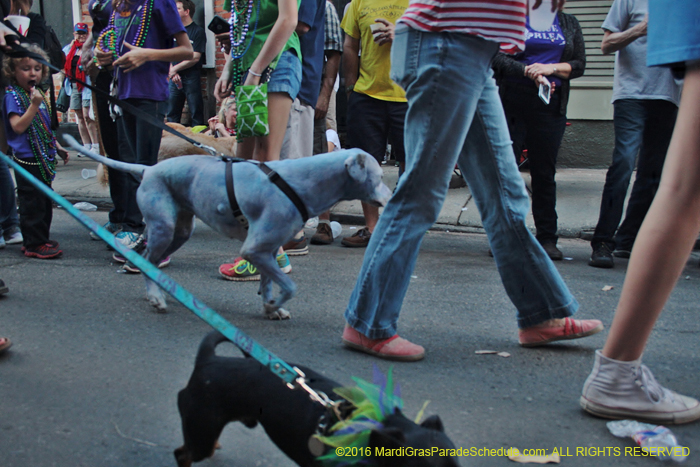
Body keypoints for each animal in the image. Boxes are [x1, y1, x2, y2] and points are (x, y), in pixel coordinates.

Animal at [65, 135, 394, 318]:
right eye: (379, 176)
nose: (392, 196)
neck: (303, 183)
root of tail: (148, 169)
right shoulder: (255, 249)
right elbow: (289, 286)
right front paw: (274, 305)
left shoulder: (267, 250)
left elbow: (268, 282)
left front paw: (270, 308)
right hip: (162, 227)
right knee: (147, 260)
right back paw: (156, 297)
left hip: (180, 231)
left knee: (153, 262)